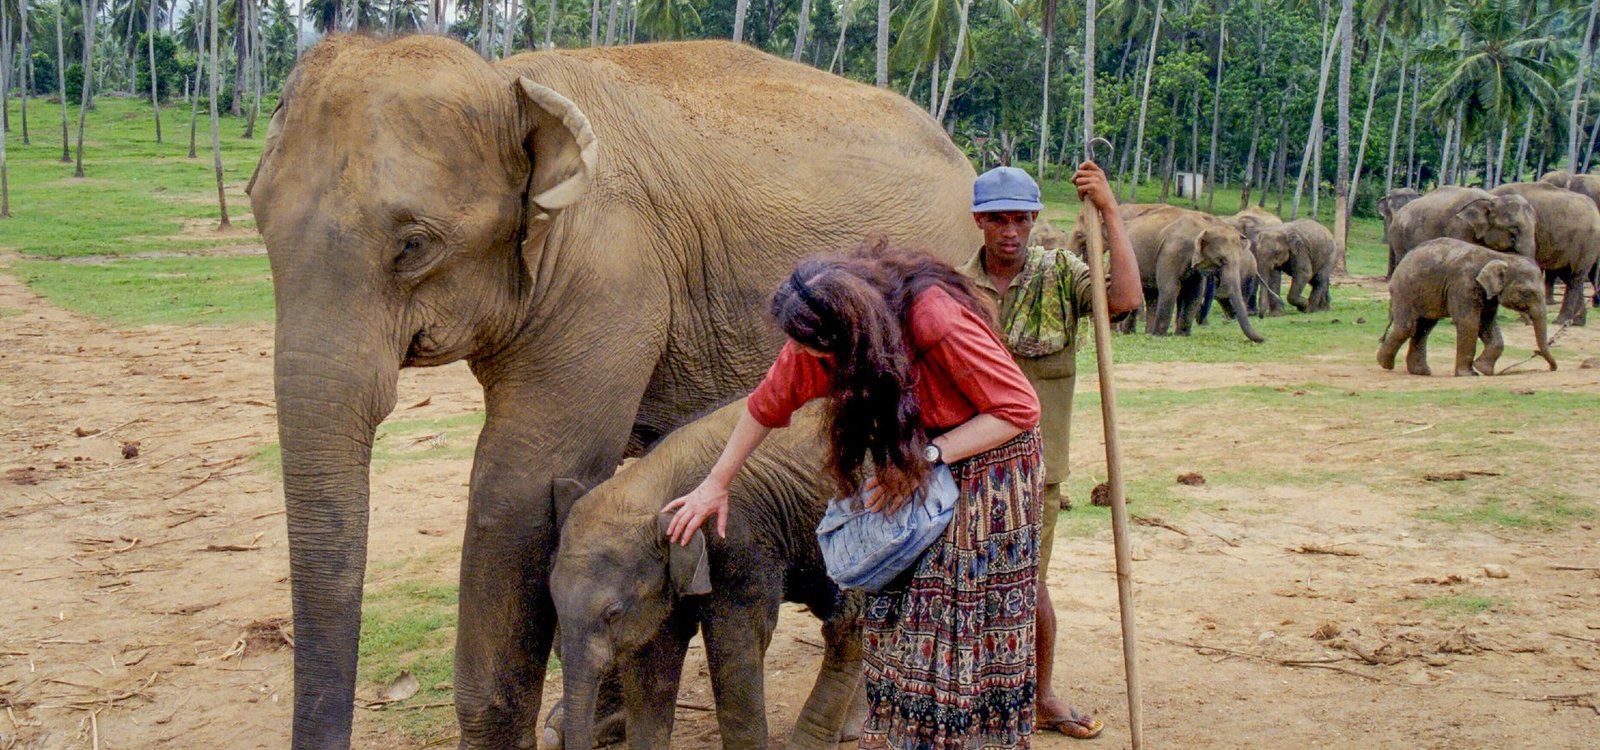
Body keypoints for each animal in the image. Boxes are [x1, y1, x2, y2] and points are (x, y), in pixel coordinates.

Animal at [1123, 204, 1265, 342]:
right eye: (1221, 260)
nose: (1263, 338)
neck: (1204, 224)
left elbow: (1194, 292)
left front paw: (1182, 335)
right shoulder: (1171, 251)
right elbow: (1171, 288)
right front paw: (1159, 336)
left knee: (1152, 294)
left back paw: (1144, 332)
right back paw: (1127, 333)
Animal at [1379, 238, 1556, 376]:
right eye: (1526, 293)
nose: (1551, 368)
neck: (1500, 257)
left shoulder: (1488, 295)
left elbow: (1486, 323)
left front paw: (1483, 370)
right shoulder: (1464, 284)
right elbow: (1470, 322)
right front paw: (1469, 374)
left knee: (1424, 328)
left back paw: (1421, 372)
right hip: (1404, 290)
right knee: (1407, 327)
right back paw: (1385, 364)